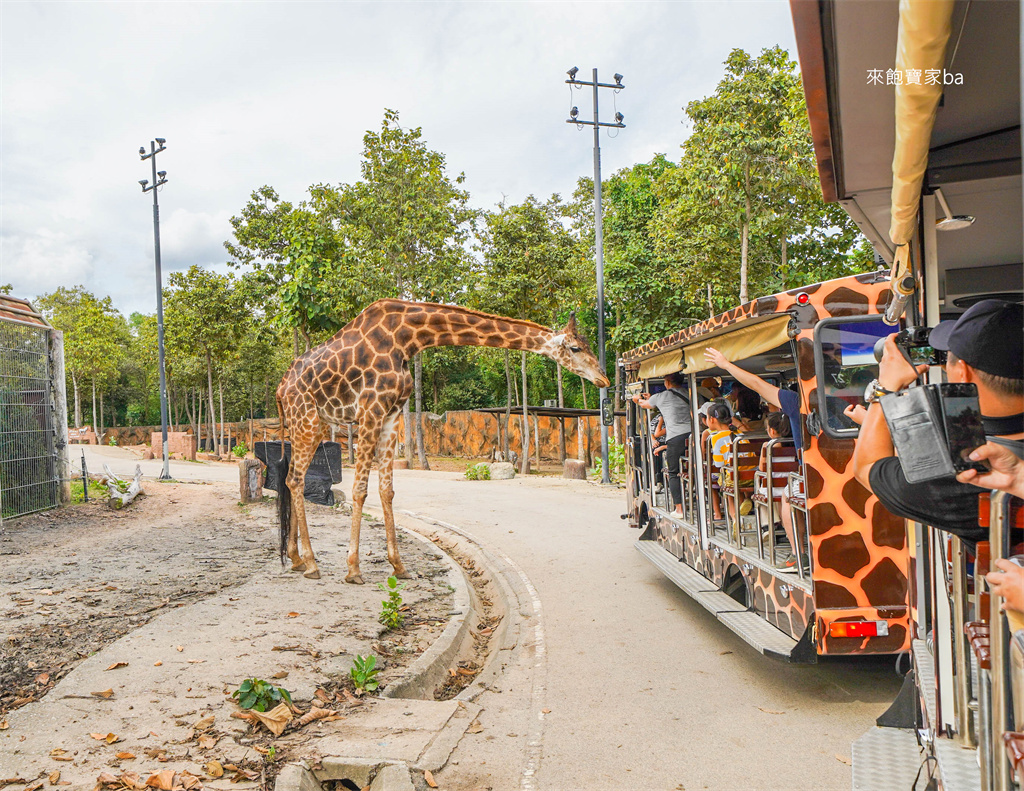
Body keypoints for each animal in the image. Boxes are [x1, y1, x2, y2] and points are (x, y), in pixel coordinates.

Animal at [274, 299, 606, 581]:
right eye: (575, 347)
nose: (603, 378)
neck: (409, 338)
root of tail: (281, 389)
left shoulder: (392, 415)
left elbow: (387, 491)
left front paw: (399, 566)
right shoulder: (370, 411)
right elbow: (359, 490)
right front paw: (353, 569)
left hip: (310, 424)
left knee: (293, 478)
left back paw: (297, 559)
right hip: (307, 419)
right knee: (296, 478)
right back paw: (312, 563)